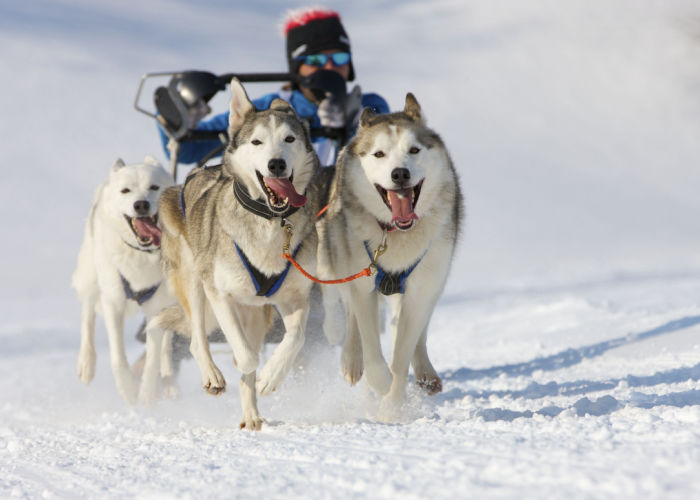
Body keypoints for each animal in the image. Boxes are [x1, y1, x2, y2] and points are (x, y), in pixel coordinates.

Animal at [72, 156, 175, 402]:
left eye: (154, 187)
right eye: (125, 190)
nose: (141, 205)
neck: (142, 255)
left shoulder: (158, 308)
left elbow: (153, 358)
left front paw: (147, 396)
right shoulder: (113, 302)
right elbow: (118, 359)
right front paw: (129, 391)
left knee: (167, 343)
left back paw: (169, 383)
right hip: (91, 275)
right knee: (87, 314)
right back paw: (86, 363)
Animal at [152, 78, 322, 430]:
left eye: (289, 139)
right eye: (257, 141)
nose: (276, 164)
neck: (270, 220)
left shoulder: (296, 297)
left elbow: (294, 339)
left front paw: (271, 376)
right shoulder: (219, 294)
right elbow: (245, 355)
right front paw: (247, 367)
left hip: (257, 314)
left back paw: (251, 415)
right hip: (194, 282)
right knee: (196, 338)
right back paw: (213, 376)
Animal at [318, 93, 462, 418]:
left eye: (414, 150)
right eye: (379, 154)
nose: (400, 173)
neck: (396, 233)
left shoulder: (421, 290)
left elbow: (402, 354)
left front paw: (392, 407)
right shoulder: (363, 285)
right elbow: (371, 344)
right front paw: (379, 381)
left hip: (431, 282)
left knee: (416, 331)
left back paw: (425, 372)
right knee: (350, 317)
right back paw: (351, 360)